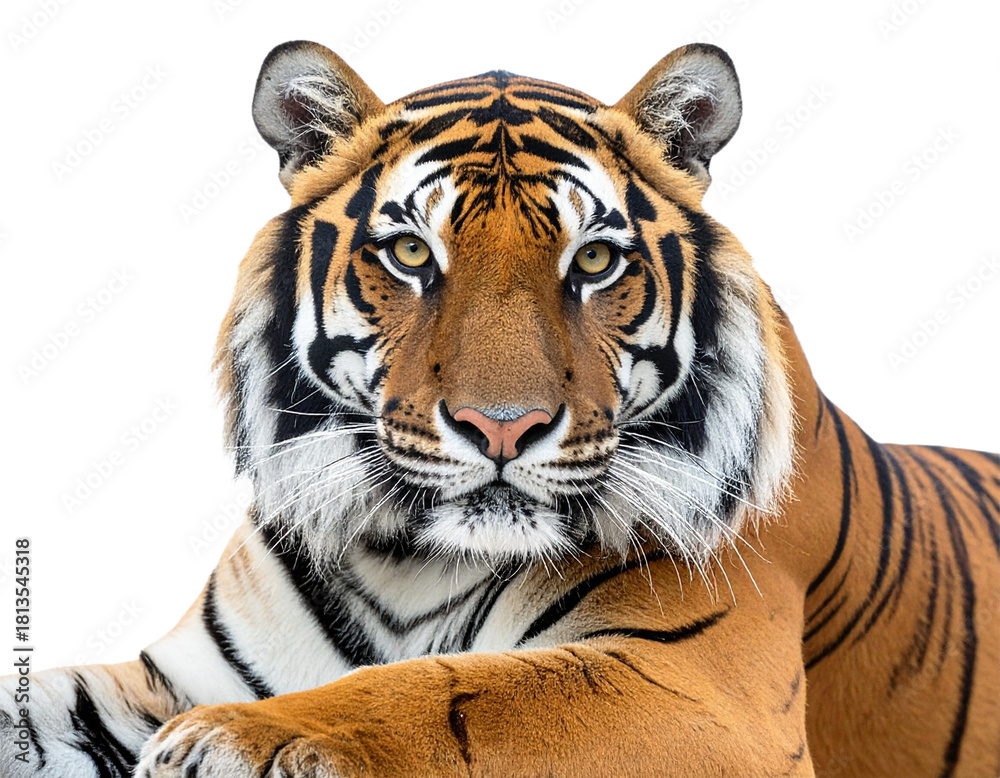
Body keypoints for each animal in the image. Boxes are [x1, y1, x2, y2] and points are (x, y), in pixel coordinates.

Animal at [1, 39, 998, 778]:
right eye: (410, 253)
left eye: (594, 261)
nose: (503, 428)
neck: (411, 561)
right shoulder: (182, 671)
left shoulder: (703, 688)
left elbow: (458, 692)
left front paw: (233, 741)